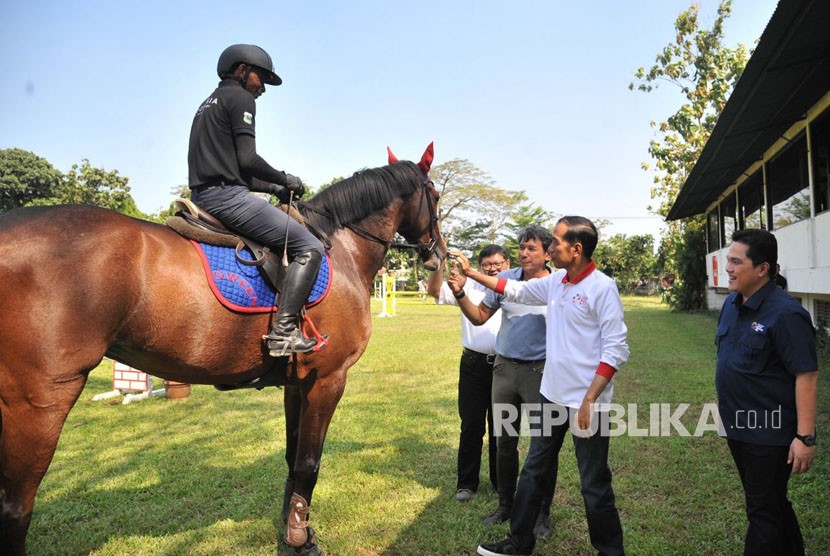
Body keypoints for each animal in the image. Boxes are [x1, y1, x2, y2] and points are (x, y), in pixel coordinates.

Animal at [0, 144, 448, 556]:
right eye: (437, 196)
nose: (439, 254)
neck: (340, 247)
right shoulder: (328, 379)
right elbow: (309, 463)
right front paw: (302, 540)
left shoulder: (296, 383)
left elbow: (292, 458)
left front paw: (292, 531)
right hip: (40, 401)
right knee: (16, 509)